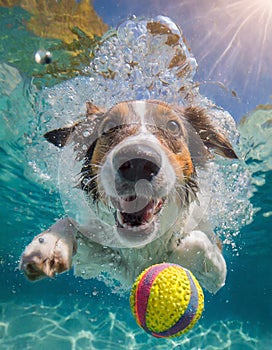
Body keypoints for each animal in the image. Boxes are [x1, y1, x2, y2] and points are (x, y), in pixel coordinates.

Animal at [19, 100, 236, 294]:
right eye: (108, 126)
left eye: (173, 126)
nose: (138, 162)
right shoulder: (90, 262)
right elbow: (71, 223)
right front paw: (50, 243)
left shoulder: (219, 272)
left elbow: (199, 241)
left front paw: (177, 253)